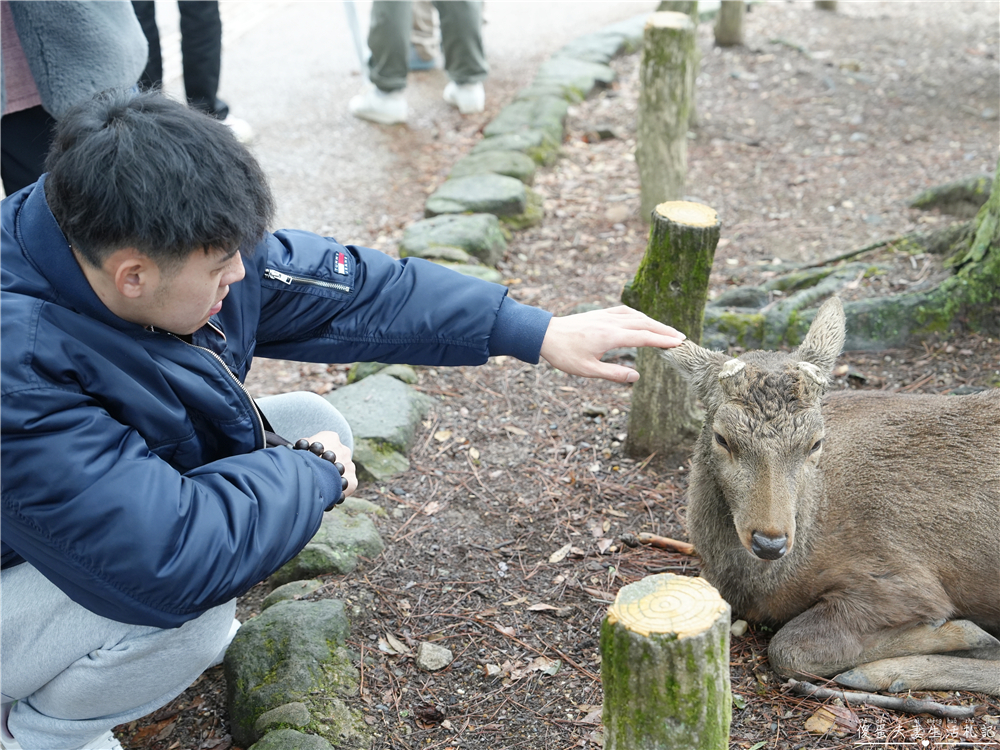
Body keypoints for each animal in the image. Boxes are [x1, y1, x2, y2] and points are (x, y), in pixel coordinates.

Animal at [660, 296, 1000, 696]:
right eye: (722, 438)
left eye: (816, 442)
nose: (769, 542)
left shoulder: (902, 579)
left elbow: (788, 648)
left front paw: (963, 633)